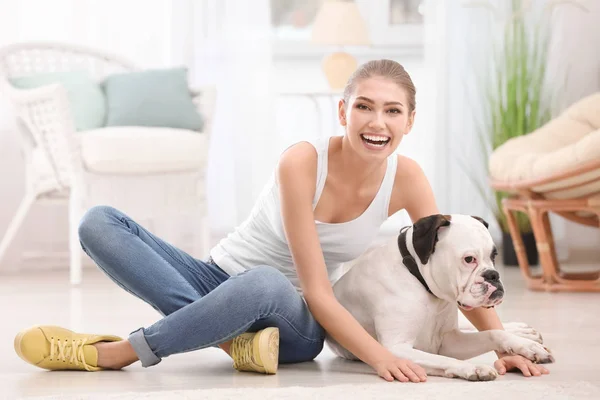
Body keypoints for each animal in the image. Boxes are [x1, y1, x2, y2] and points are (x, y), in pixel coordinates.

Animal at [328, 214, 552, 380]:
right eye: (469, 259)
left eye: (494, 256)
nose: (493, 275)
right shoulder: (397, 348)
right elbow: (444, 359)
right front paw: (472, 368)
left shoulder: (449, 341)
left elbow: (493, 333)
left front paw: (526, 347)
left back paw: (524, 332)